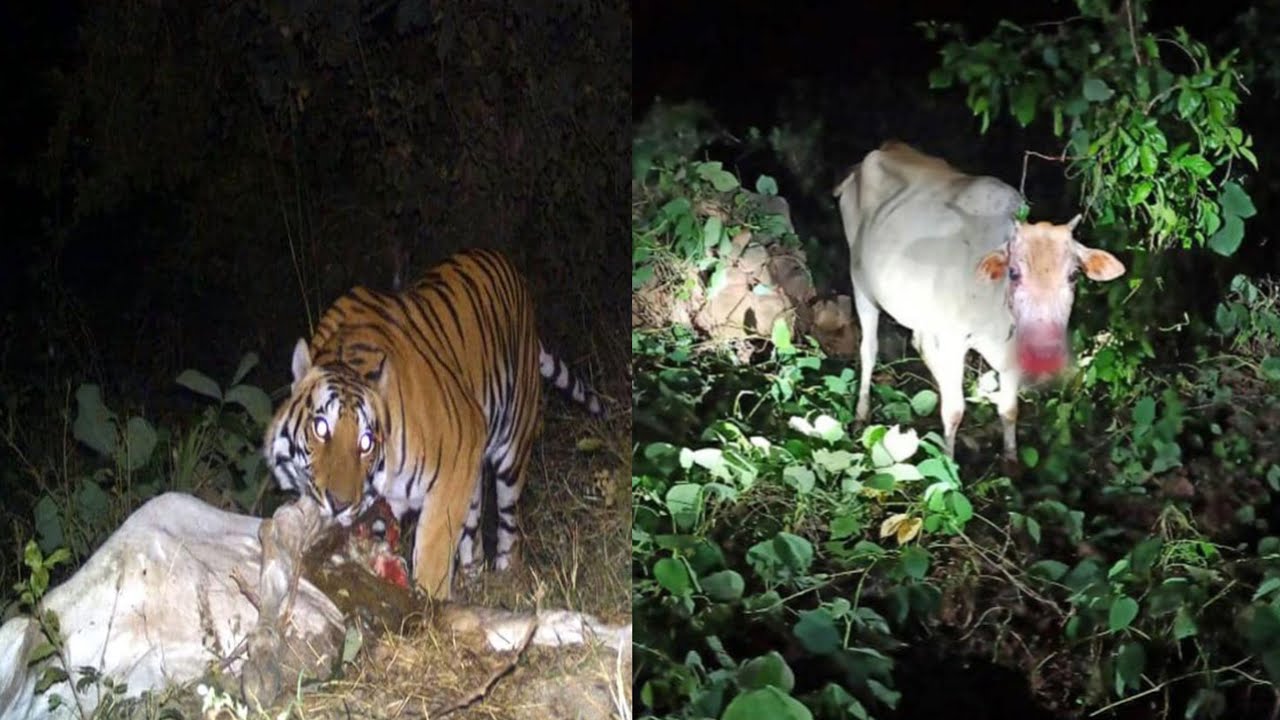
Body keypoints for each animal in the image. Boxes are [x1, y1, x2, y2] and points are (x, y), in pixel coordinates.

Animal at [263, 248, 606, 600]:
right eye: (321, 428)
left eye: (366, 442)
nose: (339, 503)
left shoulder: (456, 460)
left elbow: (433, 551)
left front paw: (428, 604)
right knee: (473, 535)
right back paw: (473, 580)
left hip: (511, 449)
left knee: (509, 525)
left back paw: (505, 576)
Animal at [832, 141, 1125, 461]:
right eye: (1013, 272)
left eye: (1073, 275)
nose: (1046, 347)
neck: (998, 313)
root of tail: (887, 148)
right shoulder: (953, 339)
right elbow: (954, 411)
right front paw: (948, 464)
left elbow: (1009, 409)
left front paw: (1010, 459)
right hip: (861, 282)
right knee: (869, 349)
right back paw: (861, 413)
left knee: (919, 342)